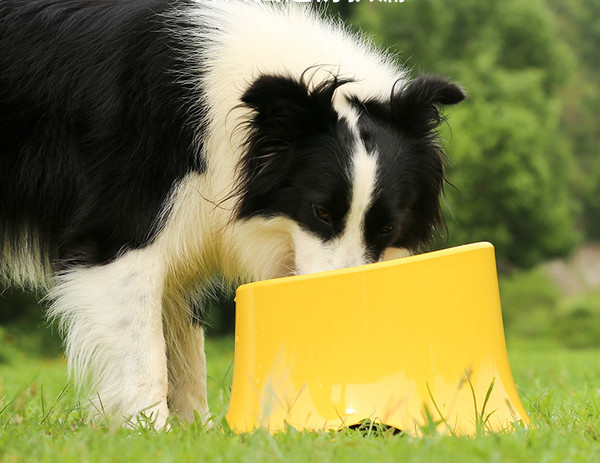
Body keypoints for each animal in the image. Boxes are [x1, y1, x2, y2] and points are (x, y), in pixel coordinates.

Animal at [0, 0, 464, 430]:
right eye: (320, 212)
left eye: (387, 227)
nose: (342, 309)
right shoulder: (123, 219)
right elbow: (144, 346)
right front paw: (149, 431)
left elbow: (186, 345)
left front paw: (195, 431)